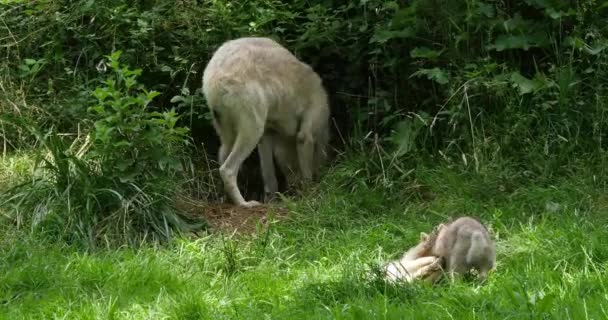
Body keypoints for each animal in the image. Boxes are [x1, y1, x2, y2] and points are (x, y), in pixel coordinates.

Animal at [202, 37, 330, 208]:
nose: (293, 189)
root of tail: (214, 76)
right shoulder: (306, 134)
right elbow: (307, 173)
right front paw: (310, 195)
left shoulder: (267, 136)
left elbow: (270, 178)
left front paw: (272, 202)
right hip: (252, 130)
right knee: (227, 170)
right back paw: (245, 204)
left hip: (229, 136)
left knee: (222, 160)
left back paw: (228, 200)